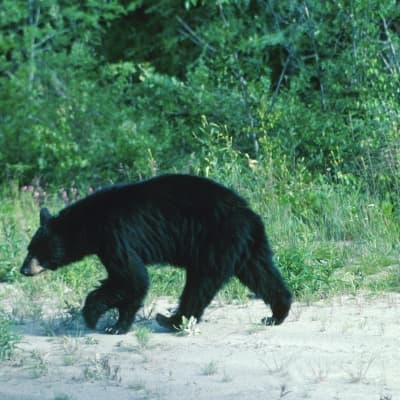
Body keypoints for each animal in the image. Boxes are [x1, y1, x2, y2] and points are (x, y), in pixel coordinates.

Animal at [20, 173, 292, 332]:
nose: (23, 269)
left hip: (216, 241)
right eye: (28, 248)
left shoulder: (116, 237)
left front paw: (107, 321)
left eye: (36, 250)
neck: (90, 223)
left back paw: (172, 320)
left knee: (200, 283)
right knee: (262, 274)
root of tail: (250, 214)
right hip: (247, 246)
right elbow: (124, 280)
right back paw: (277, 314)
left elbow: (132, 278)